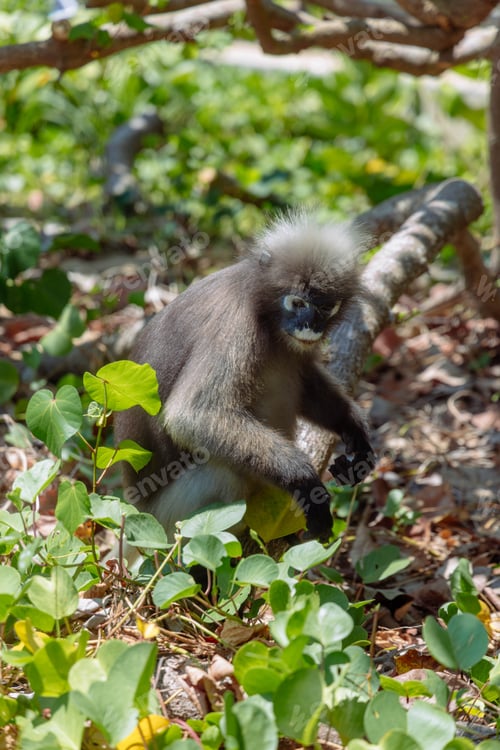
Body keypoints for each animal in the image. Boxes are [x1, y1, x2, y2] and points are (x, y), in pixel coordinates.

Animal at [114, 213, 375, 547]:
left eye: (325, 307)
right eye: (298, 303)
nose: (310, 326)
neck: (261, 306)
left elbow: (307, 382)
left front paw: (354, 429)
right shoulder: (235, 325)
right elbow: (192, 415)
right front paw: (305, 481)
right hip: (168, 517)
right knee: (223, 473)